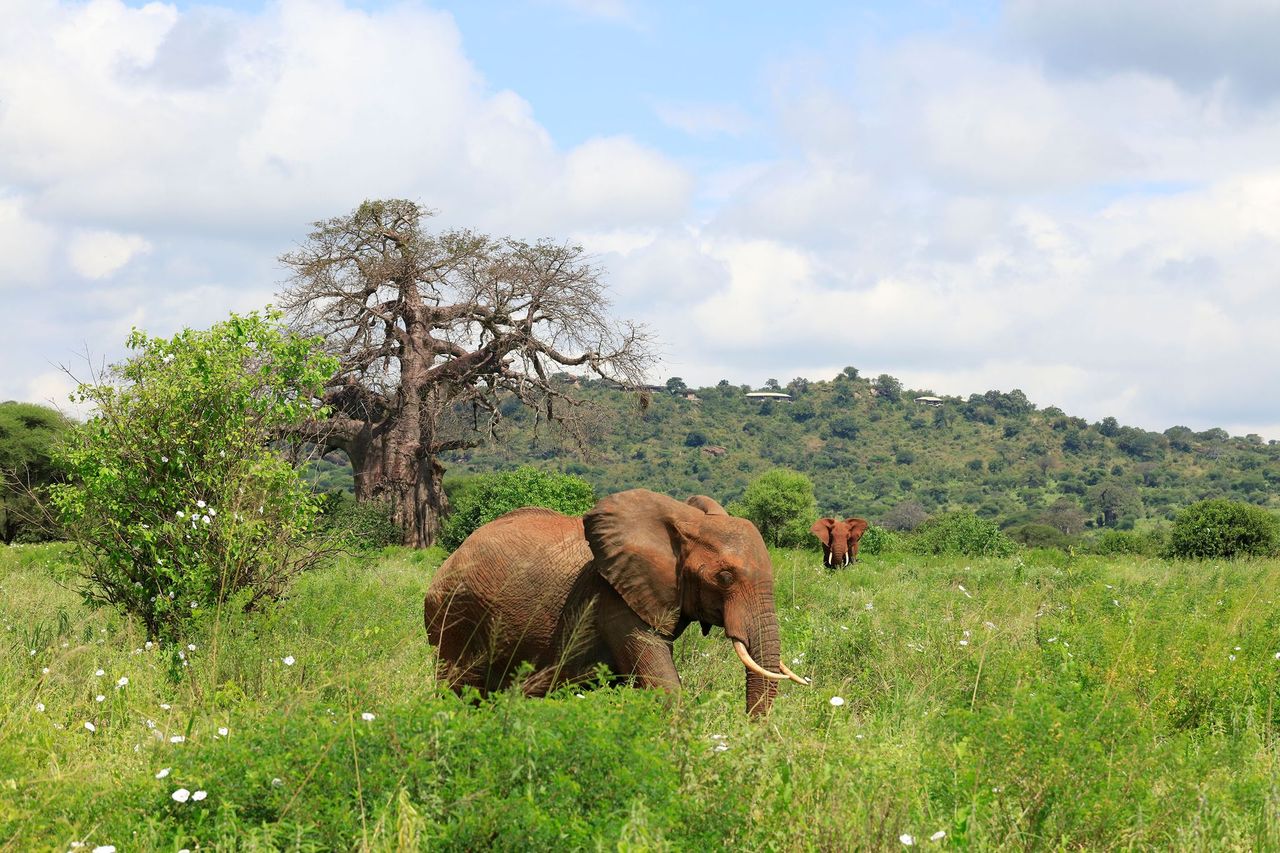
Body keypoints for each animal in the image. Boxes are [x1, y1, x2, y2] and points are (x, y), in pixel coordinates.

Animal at [423, 489, 809, 715]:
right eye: (725, 577)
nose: (747, 730)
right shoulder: (613, 598)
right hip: (455, 616)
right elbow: (663, 685)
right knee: (456, 688)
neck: (686, 522)